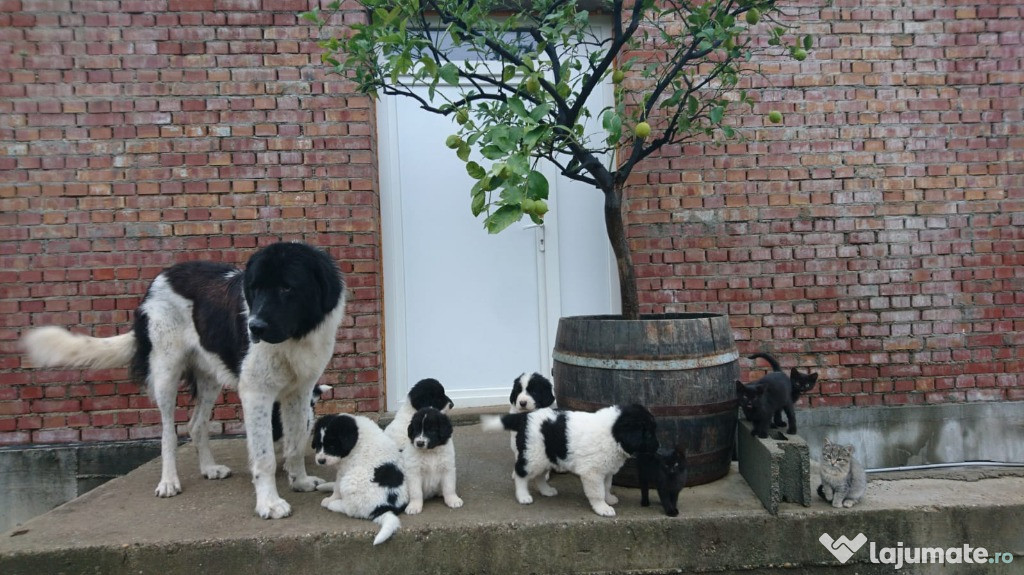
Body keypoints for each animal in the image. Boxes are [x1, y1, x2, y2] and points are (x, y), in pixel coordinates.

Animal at [22, 239, 344, 517]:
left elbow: (295, 442)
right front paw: (269, 503)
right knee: (168, 431)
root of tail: (159, 278)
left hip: (209, 377)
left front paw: (300, 482)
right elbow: (264, 456)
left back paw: (209, 469)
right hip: (165, 373)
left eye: (287, 288)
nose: (254, 327)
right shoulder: (256, 392)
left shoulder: (299, 391)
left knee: (196, 424)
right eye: (254, 289)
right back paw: (168, 482)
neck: (294, 337)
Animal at [311, 411, 407, 540]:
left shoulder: (344, 470)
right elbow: (335, 484)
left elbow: (337, 487)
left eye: (332, 446)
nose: (321, 461)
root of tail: (383, 507)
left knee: (350, 509)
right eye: (317, 445)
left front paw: (331, 498)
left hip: (351, 480)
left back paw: (333, 504)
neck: (357, 438)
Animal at [479, 403, 655, 515]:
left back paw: (546, 491)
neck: (613, 433)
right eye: (648, 434)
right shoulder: (592, 473)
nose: (658, 447)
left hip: (546, 456)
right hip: (533, 455)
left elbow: (606, 486)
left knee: (540, 476)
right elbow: (597, 492)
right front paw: (602, 508)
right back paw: (523, 496)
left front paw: (609, 499)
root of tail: (525, 417)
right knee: (520, 473)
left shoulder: (606, 470)